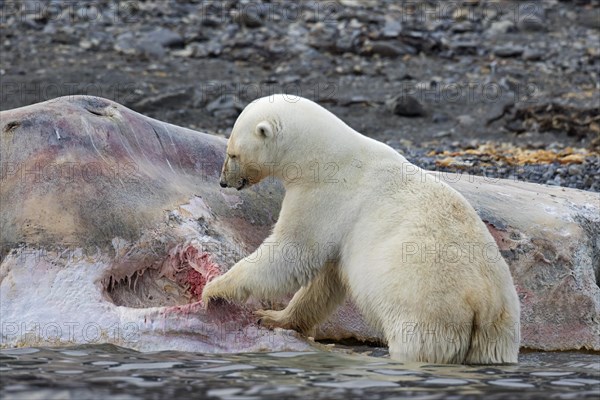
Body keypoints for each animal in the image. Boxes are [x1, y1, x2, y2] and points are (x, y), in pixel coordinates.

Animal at [203, 94, 520, 366]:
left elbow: (290, 254)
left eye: (232, 153)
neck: (323, 154)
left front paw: (216, 290)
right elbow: (326, 282)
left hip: (427, 309)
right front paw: (276, 317)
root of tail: (481, 302)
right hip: (498, 330)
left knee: (417, 342)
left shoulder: (324, 198)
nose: (223, 181)